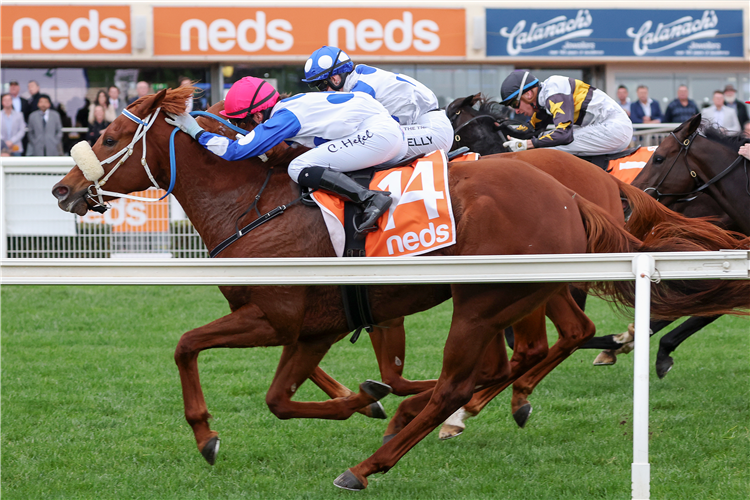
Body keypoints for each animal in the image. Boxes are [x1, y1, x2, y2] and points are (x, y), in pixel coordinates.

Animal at [50, 89, 748, 488]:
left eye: (109, 137)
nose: (62, 189)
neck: (253, 207)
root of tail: (576, 190)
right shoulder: (316, 326)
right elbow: (283, 397)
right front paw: (365, 399)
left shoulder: (275, 318)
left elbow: (185, 346)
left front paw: (206, 435)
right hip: (514, 293)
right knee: (534, 349)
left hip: (483, 301)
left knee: (473, 376)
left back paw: (375, 462)